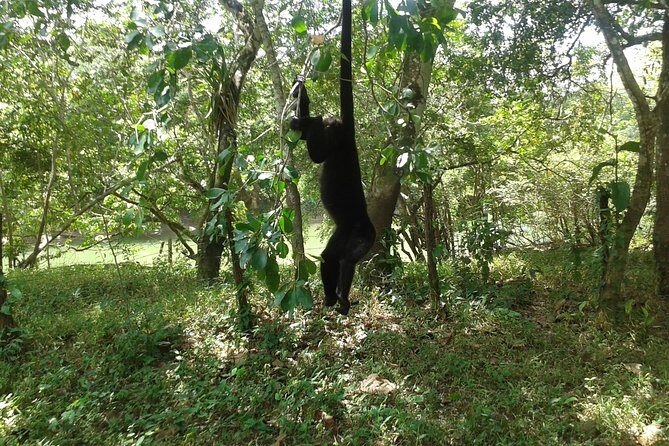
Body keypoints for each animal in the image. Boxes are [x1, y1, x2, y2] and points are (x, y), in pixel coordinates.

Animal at [290, 0, 375, 315]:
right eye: (366, 241)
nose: (367, 242)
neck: (361, 227)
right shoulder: (357, 235)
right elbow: (344, 261)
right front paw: (341, 297)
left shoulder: (354, 236)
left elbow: (339, 259)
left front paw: (337, 297)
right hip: (338, 135)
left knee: (331, 257)